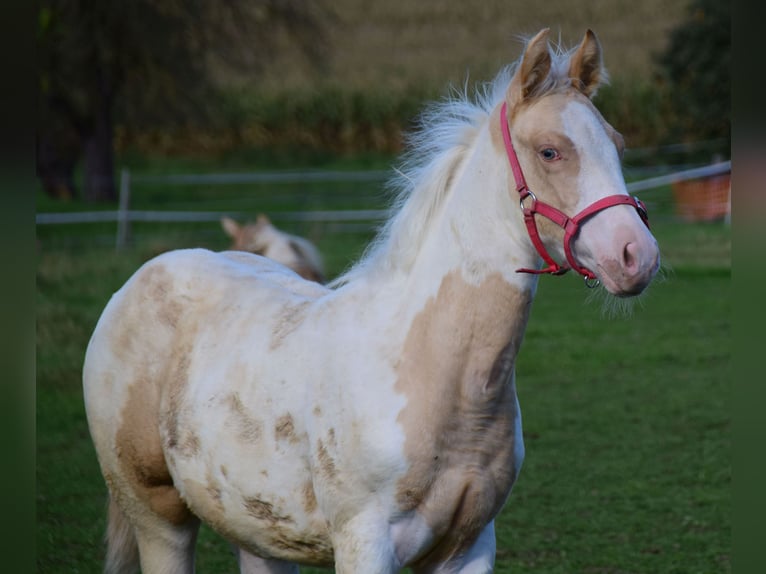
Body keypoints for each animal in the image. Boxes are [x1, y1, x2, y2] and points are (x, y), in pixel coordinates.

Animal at [83, 28, 660, 573]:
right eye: (549, 151)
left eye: (618, 144)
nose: (637, 255)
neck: (434, 373)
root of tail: (138, 282)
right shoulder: (364, 542)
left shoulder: (469, 546)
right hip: (157, 514)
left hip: (256, 527)